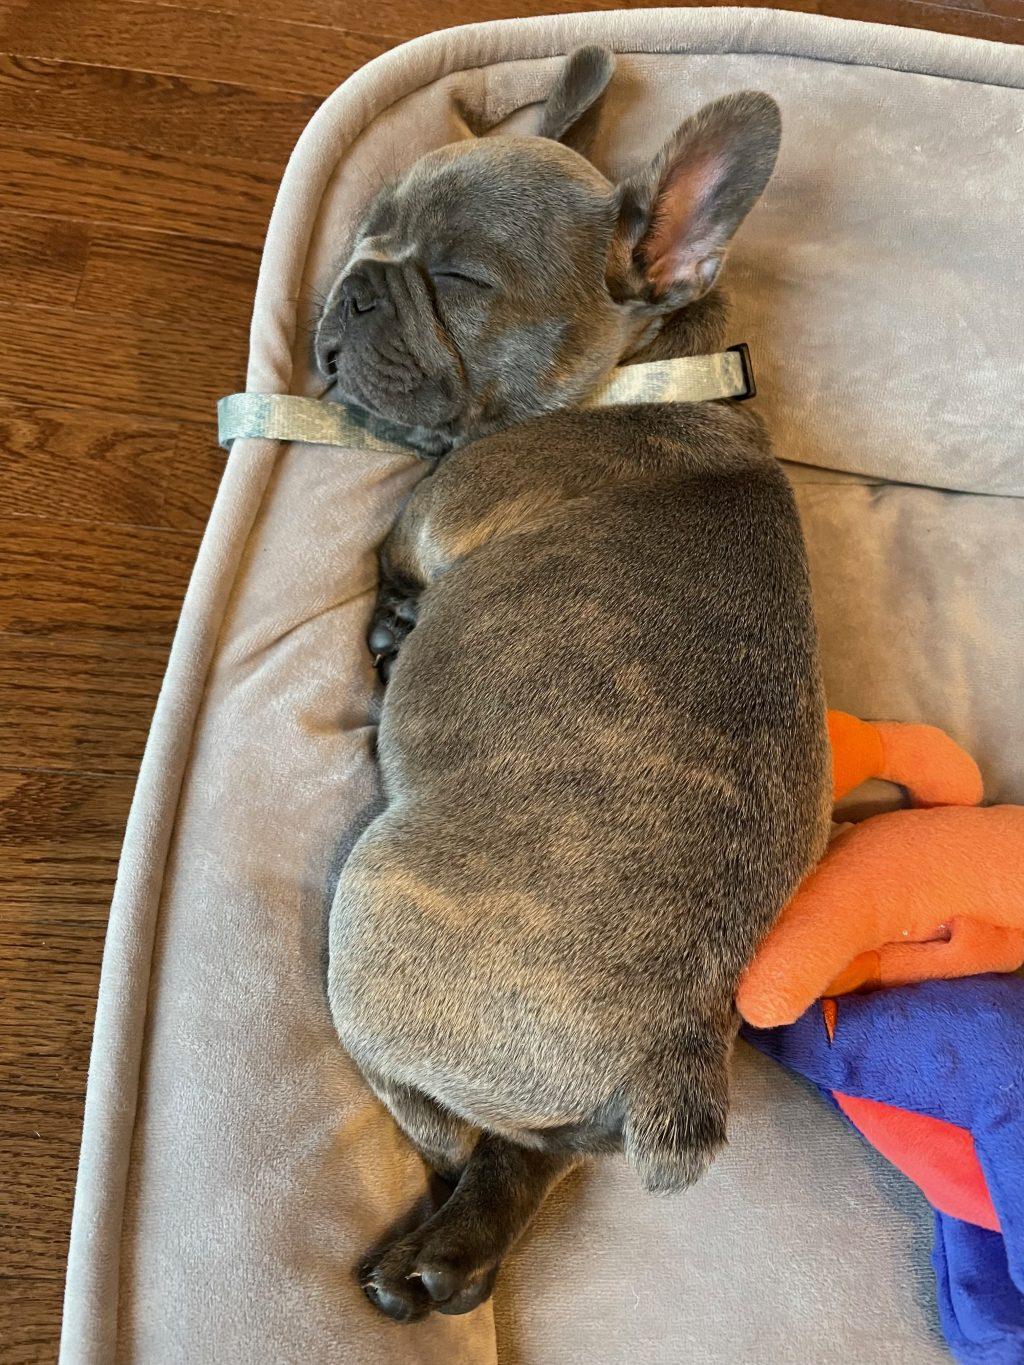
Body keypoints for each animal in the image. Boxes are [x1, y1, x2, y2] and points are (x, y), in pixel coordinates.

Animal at [319, 48, 835, 1315]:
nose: (355, 282)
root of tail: (668, 1046)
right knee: (533, 1155)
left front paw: (395, 621)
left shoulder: (428, 514)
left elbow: (395, 548)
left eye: (458, 278)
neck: (648, 373)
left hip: (373, 908)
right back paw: (446, 1261)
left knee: (444, 1127)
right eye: (370, 228)